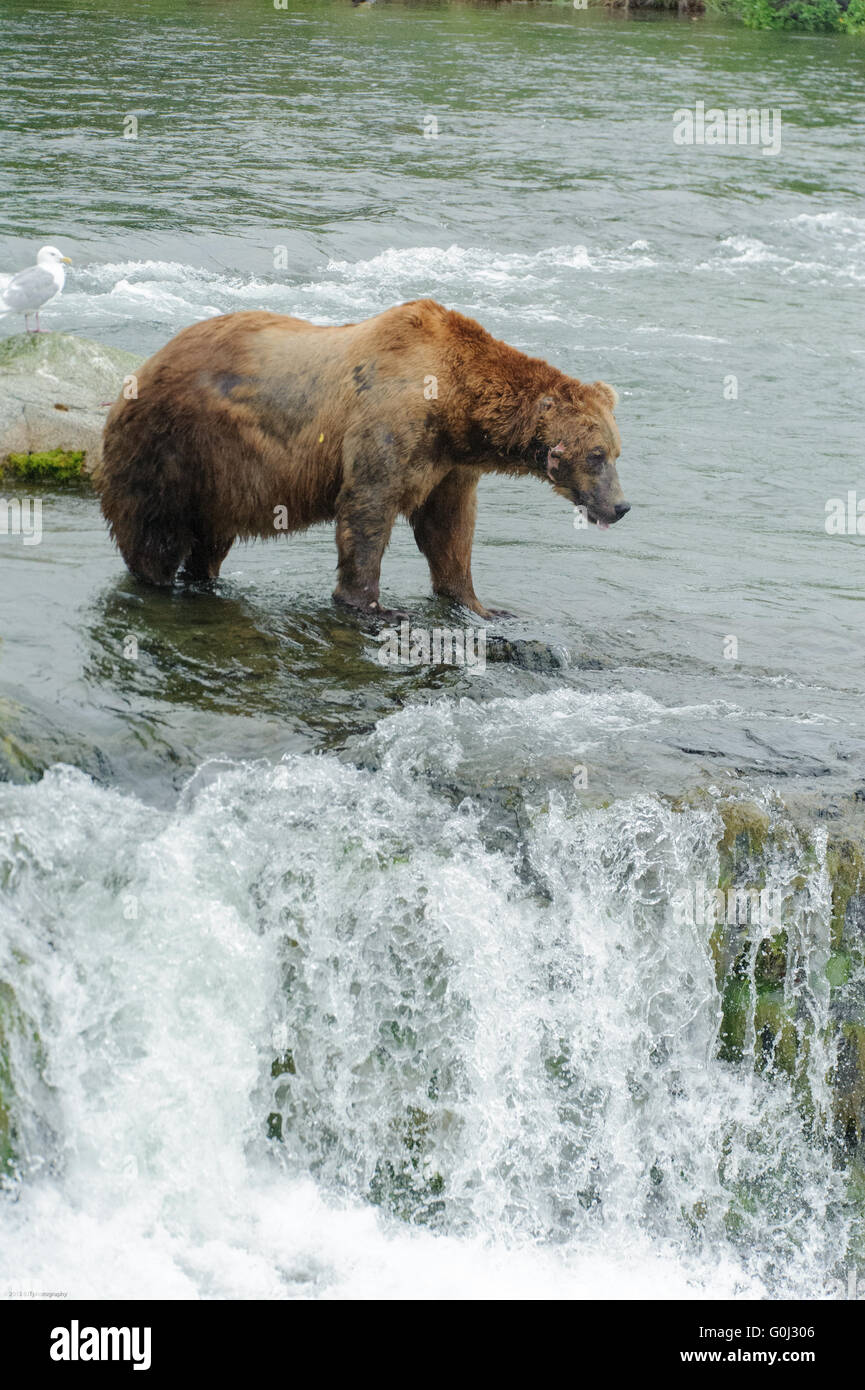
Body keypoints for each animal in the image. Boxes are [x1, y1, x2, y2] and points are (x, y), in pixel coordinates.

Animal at [98, 299, 628, 618]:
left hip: (220, 481)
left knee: (209, 542)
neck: (456, 406)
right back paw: (157, 583)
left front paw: (481, 604)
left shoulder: (450, 465)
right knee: (155, 533)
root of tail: (136, 373)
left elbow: (449, 529)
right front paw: (372, 607)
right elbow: (368, 508)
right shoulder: (391, 422)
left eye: (617, 451)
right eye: (597, 454)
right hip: (174, 448)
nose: (621, 506)